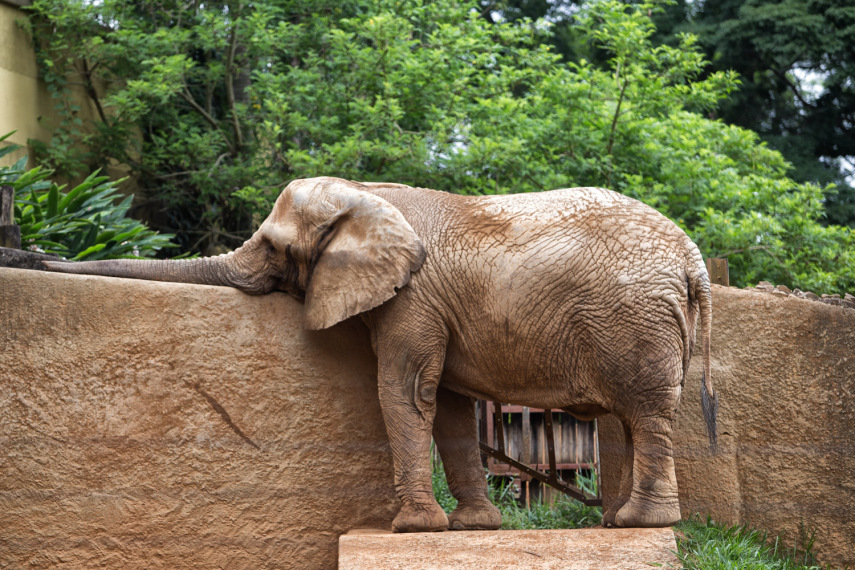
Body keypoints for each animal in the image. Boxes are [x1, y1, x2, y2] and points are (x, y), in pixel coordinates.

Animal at [45, 175, 716, 532]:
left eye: (272, 246)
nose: (40, 255)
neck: (366, 193)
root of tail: (693, 257)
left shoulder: (412, 298)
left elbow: (404, 392)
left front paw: (413, 529)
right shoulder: (433, 306)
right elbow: (447, 407)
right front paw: (471, 529)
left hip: (636, 321)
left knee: (646, 414)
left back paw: (640, 524)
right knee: (634, 418)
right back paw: (619, 520)